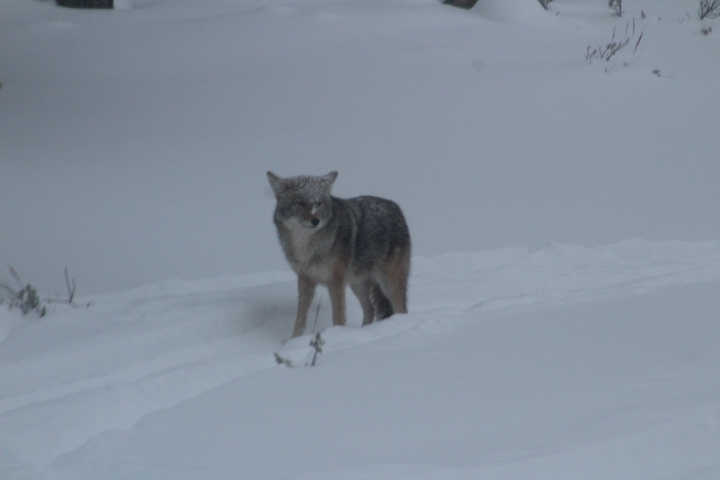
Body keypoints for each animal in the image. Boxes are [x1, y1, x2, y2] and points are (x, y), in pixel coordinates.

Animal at [267, 171, 411, 338]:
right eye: (300, 203)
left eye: (318, 203)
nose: (315, 220)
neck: (307, 246)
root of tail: (396, 208)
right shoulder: (305, 280)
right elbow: (300, 318)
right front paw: (294, 340)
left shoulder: (335, 282)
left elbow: (338, 315)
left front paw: (336, 334)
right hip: (358, 284)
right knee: (370, 309)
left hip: (387, 282)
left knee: (400, 309)